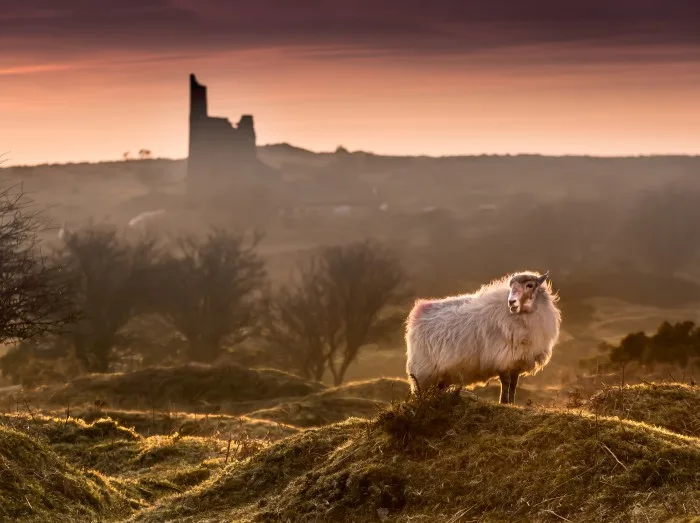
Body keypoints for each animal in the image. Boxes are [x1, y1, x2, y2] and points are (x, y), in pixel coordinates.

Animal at [402, 270, 560, 406]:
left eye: (530, 285)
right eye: (511, 287)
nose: (511, 302)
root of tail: (418, 311)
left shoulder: (517, 360)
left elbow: (514, 384)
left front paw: (512, 403)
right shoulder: (501, 357)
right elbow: (506, 382)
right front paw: (504, 402)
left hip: (440, 374)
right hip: (423, 371)